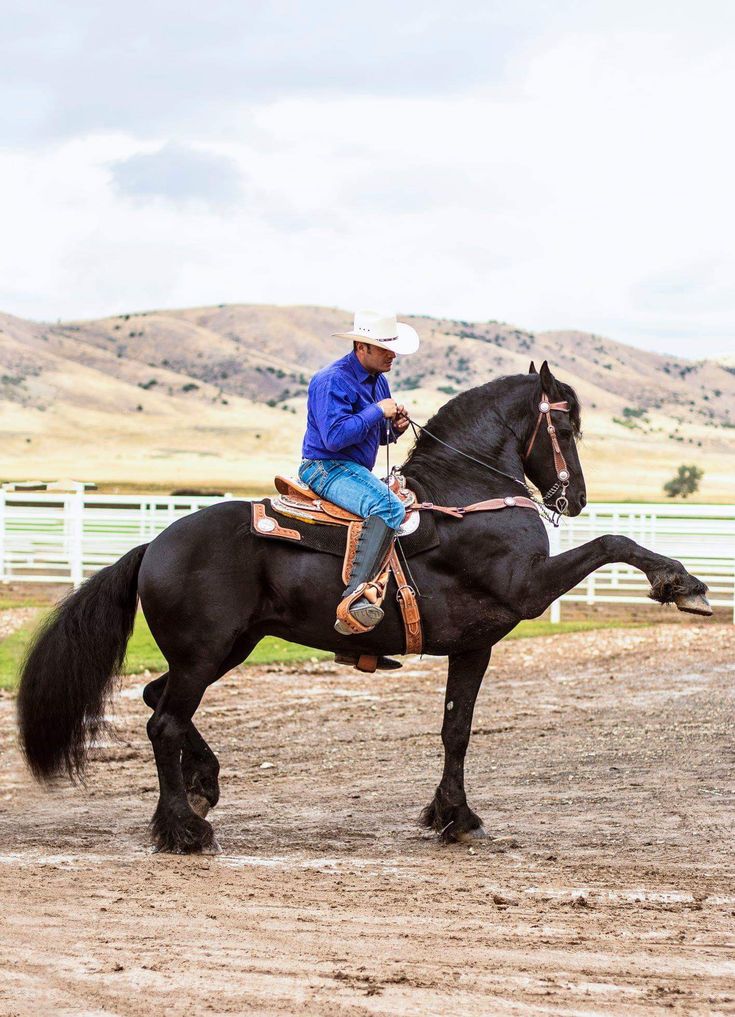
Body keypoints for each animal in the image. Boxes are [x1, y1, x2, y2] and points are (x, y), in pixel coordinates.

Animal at [17, 361, 711, 853]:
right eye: (564, 429)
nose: (578, 498)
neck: (470, 496)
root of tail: (155, 543)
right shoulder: (527, 587)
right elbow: (612, 543)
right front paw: (682, 584)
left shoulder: (474, 645)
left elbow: (456, 729)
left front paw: (454, 816)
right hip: (205, 654)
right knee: (163, 721)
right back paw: (183, 830)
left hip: (224, 650)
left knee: (157, 700)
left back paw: (203, 785)